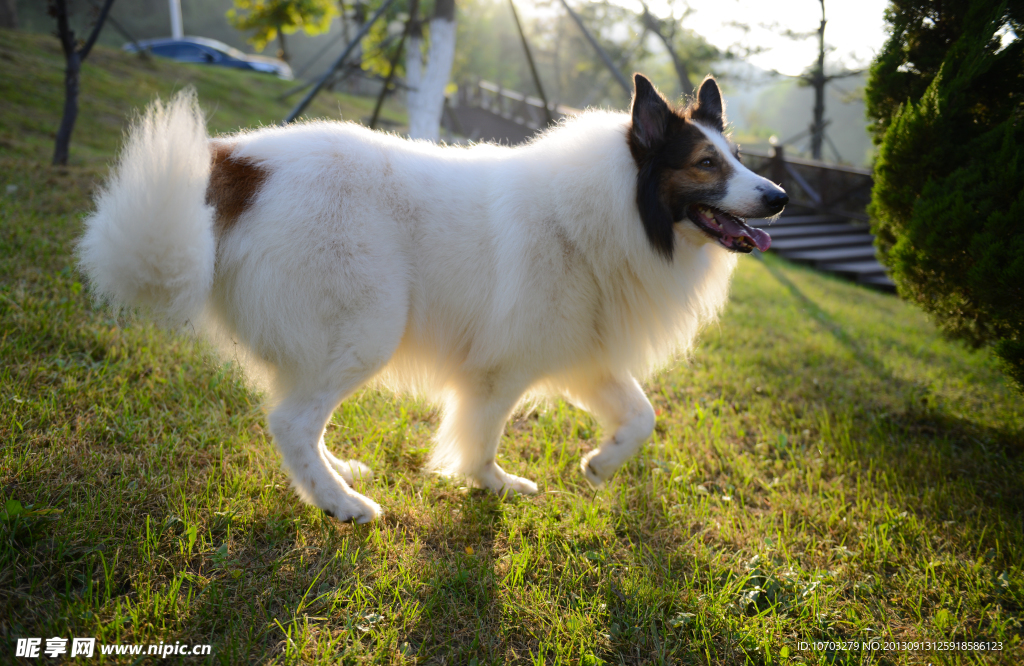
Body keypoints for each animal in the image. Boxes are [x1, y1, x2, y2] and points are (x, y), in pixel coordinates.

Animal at [79, 72, 786, 518]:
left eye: (738, 157)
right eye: (705, 164)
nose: (779, 196)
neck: (615, 210)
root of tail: (240, 165)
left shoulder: (586, 355)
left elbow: (642, 417)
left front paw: (599, 466)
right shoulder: (501, 370)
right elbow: (482, 437)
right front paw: (492, 485)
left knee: (300, 416)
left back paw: (339, 475)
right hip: (367, 328)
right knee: (290, 420)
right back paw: (341, 505)